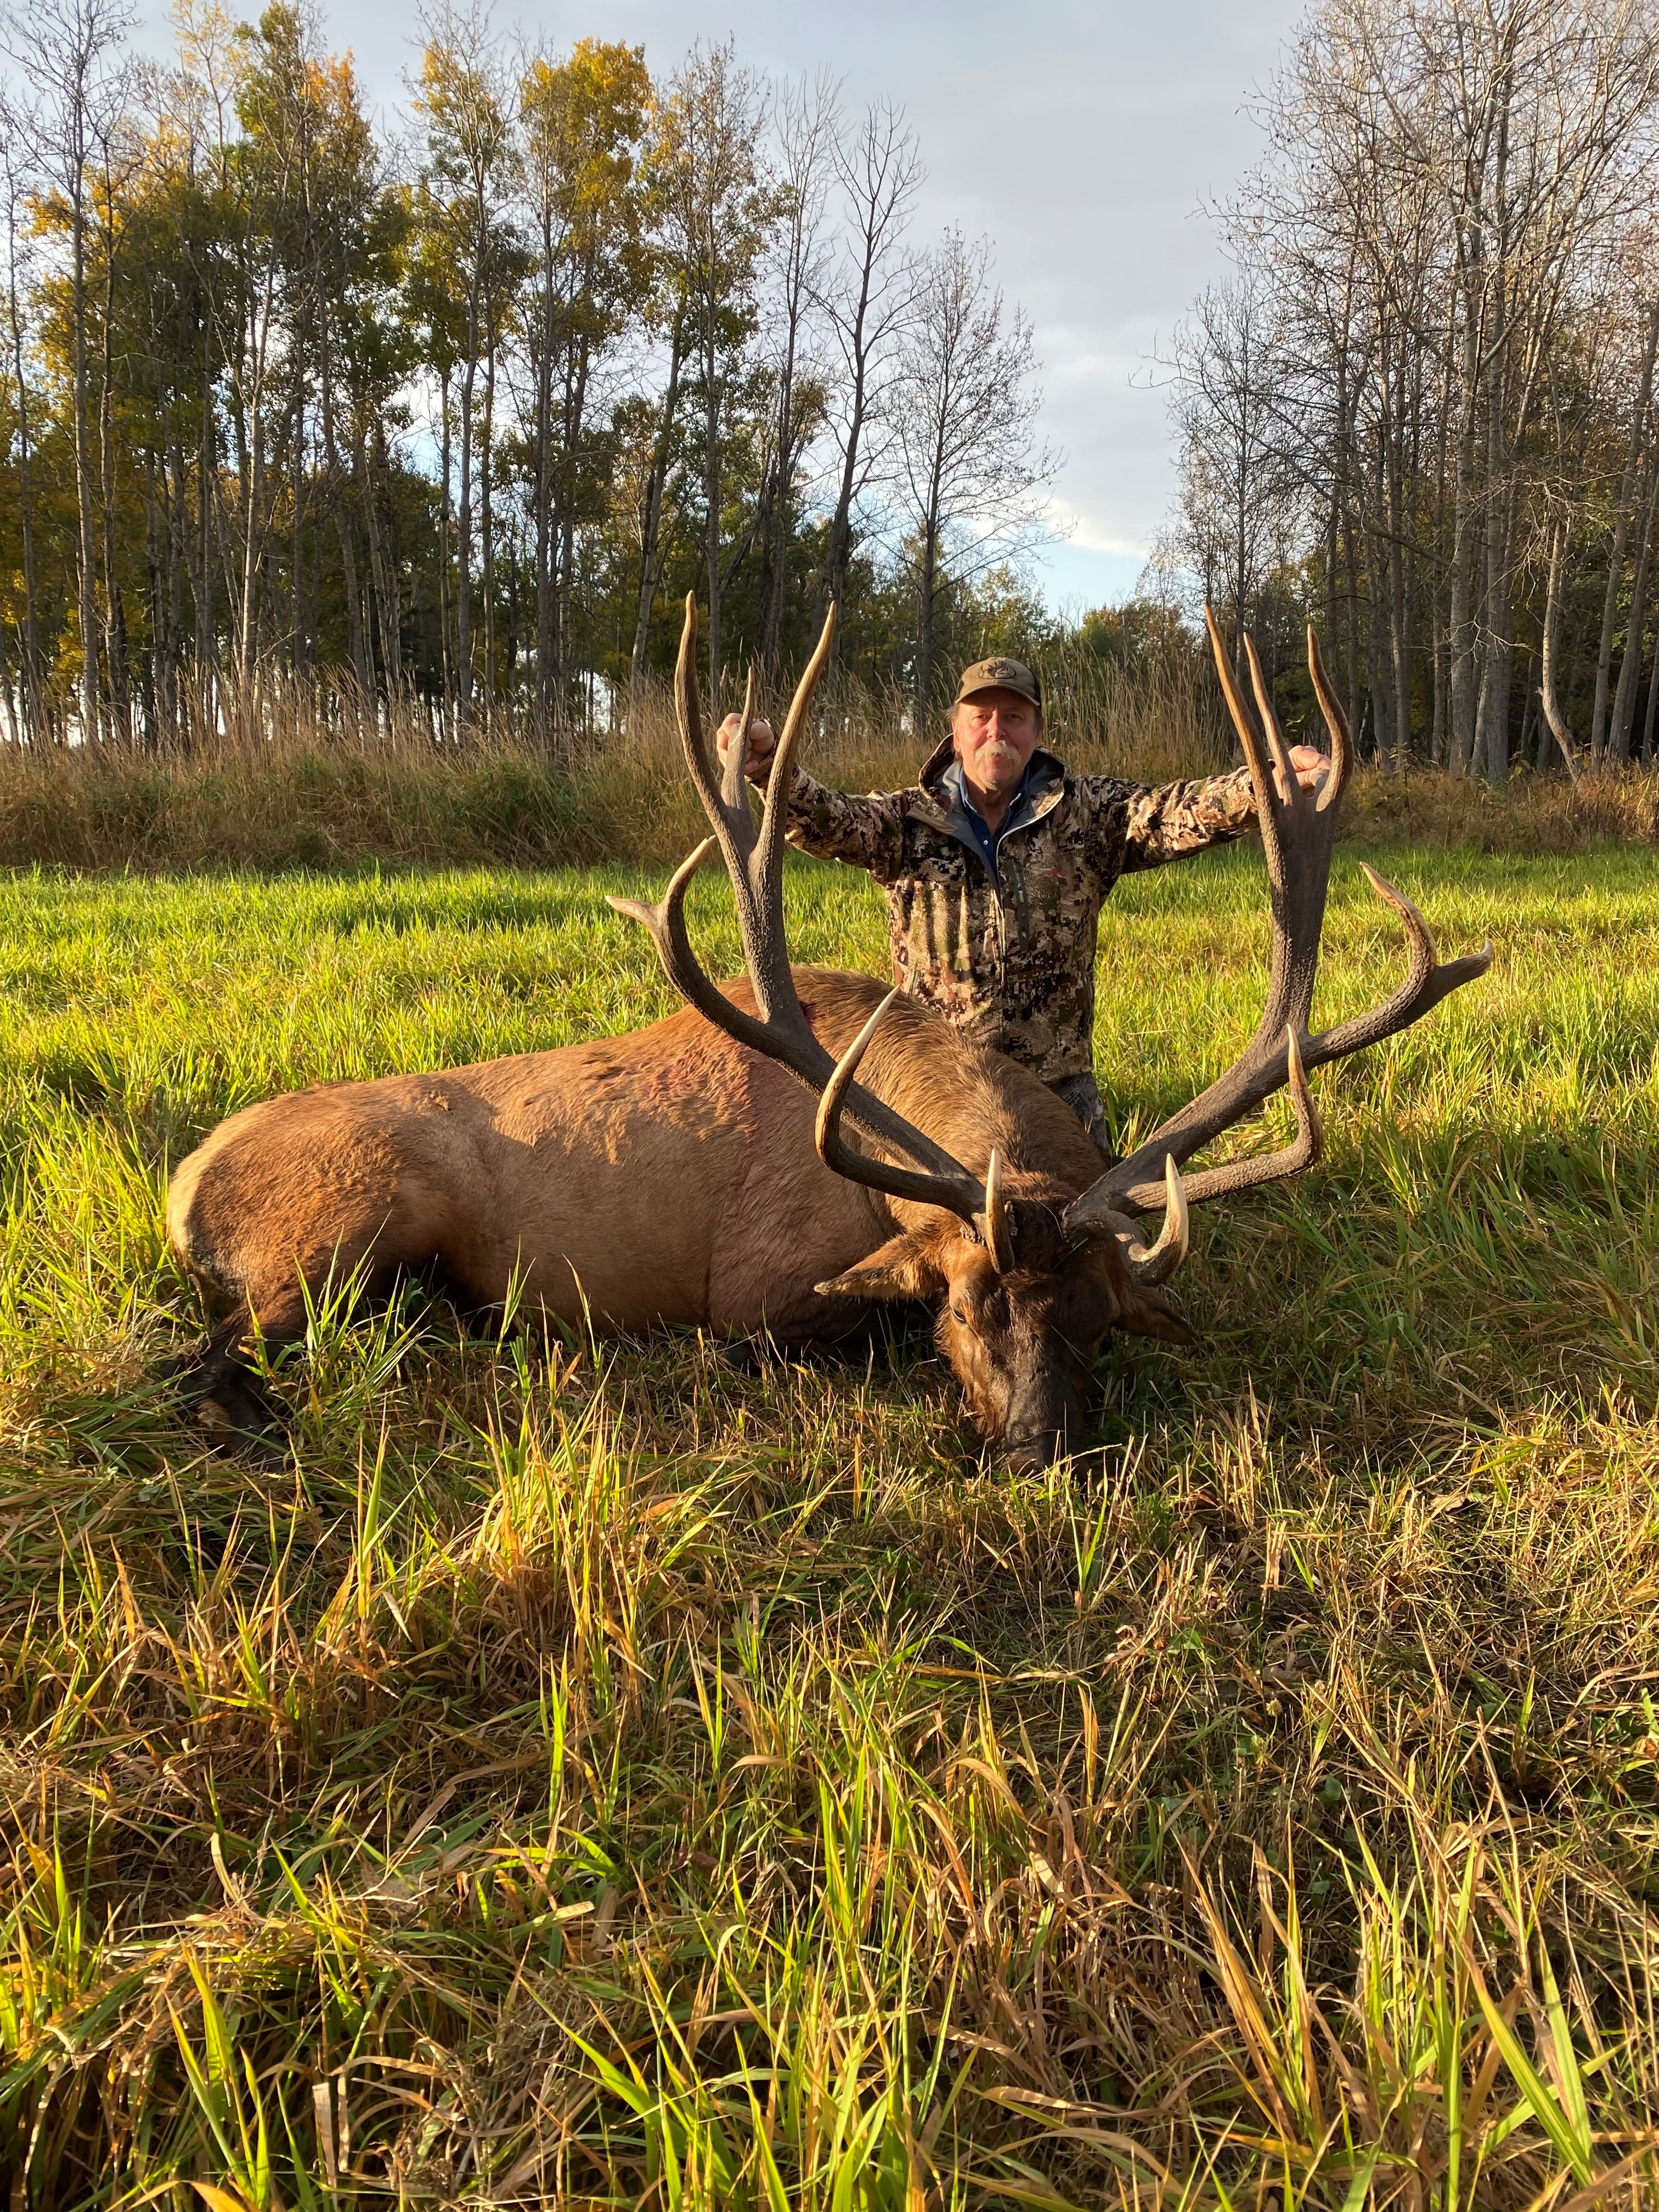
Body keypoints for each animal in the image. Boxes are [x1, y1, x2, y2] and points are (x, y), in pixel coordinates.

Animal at [167, 598, 1490, 1468]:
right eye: (963, 1307)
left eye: (1102, 1321)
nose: (1039, 1454)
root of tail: (184, 1182)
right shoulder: (757, 1291)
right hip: (334, 1234)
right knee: (207, 1359)